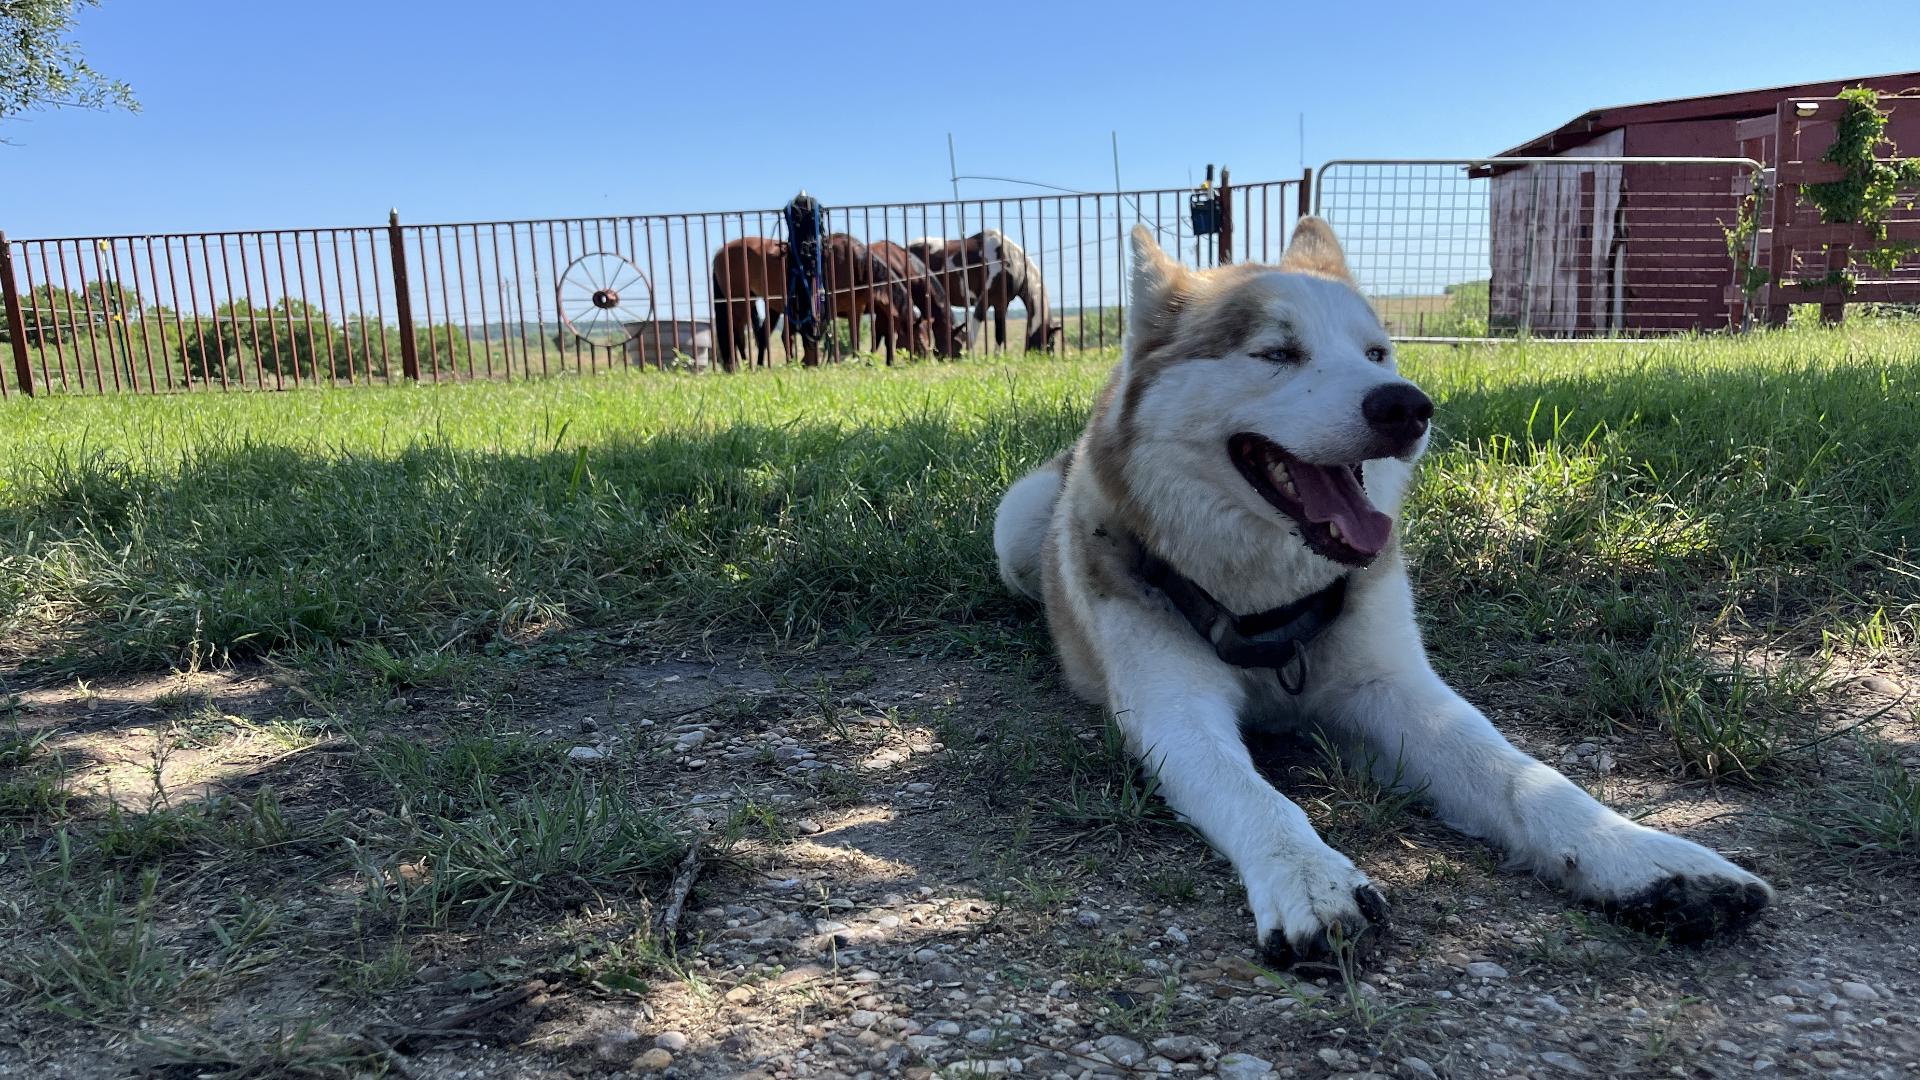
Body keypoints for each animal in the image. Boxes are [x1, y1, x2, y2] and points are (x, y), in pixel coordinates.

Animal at [906, 228, 1059, 351]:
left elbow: (999, 335)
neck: (1012, 262)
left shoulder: (1001, 305)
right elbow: (972, 336)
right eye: (1051, 343)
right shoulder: (984, 301)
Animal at [998, 219, 1774, 957]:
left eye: (1376, 354)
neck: (1264, 604)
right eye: (1276, 353)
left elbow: (1522, 776)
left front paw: (1641, 859)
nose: (1406, 406)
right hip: (1012, 531)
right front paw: (1311, 879)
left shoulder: (1397, 689)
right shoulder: (1174, 712)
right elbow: (1255, 797)